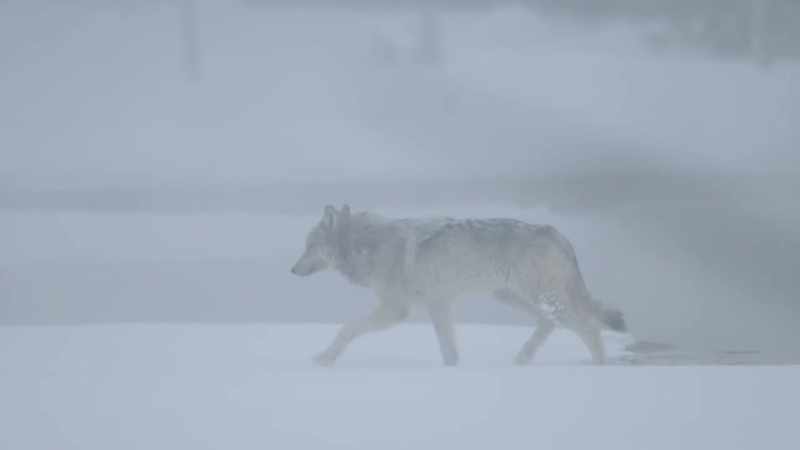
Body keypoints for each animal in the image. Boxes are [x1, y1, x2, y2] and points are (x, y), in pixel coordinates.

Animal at [291, 204, 626, 366]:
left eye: (309, 246)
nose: (292, 270)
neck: (367, 245)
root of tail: (557, 233)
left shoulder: (397, 309)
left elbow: (347, 329)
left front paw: (324, 359)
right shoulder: (438, 304)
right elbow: (448, 350)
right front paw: (452, 373)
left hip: (540, 297)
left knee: (589, 327)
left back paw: (599, 369)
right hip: (510, 297)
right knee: (550, 323)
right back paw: (522, 359)